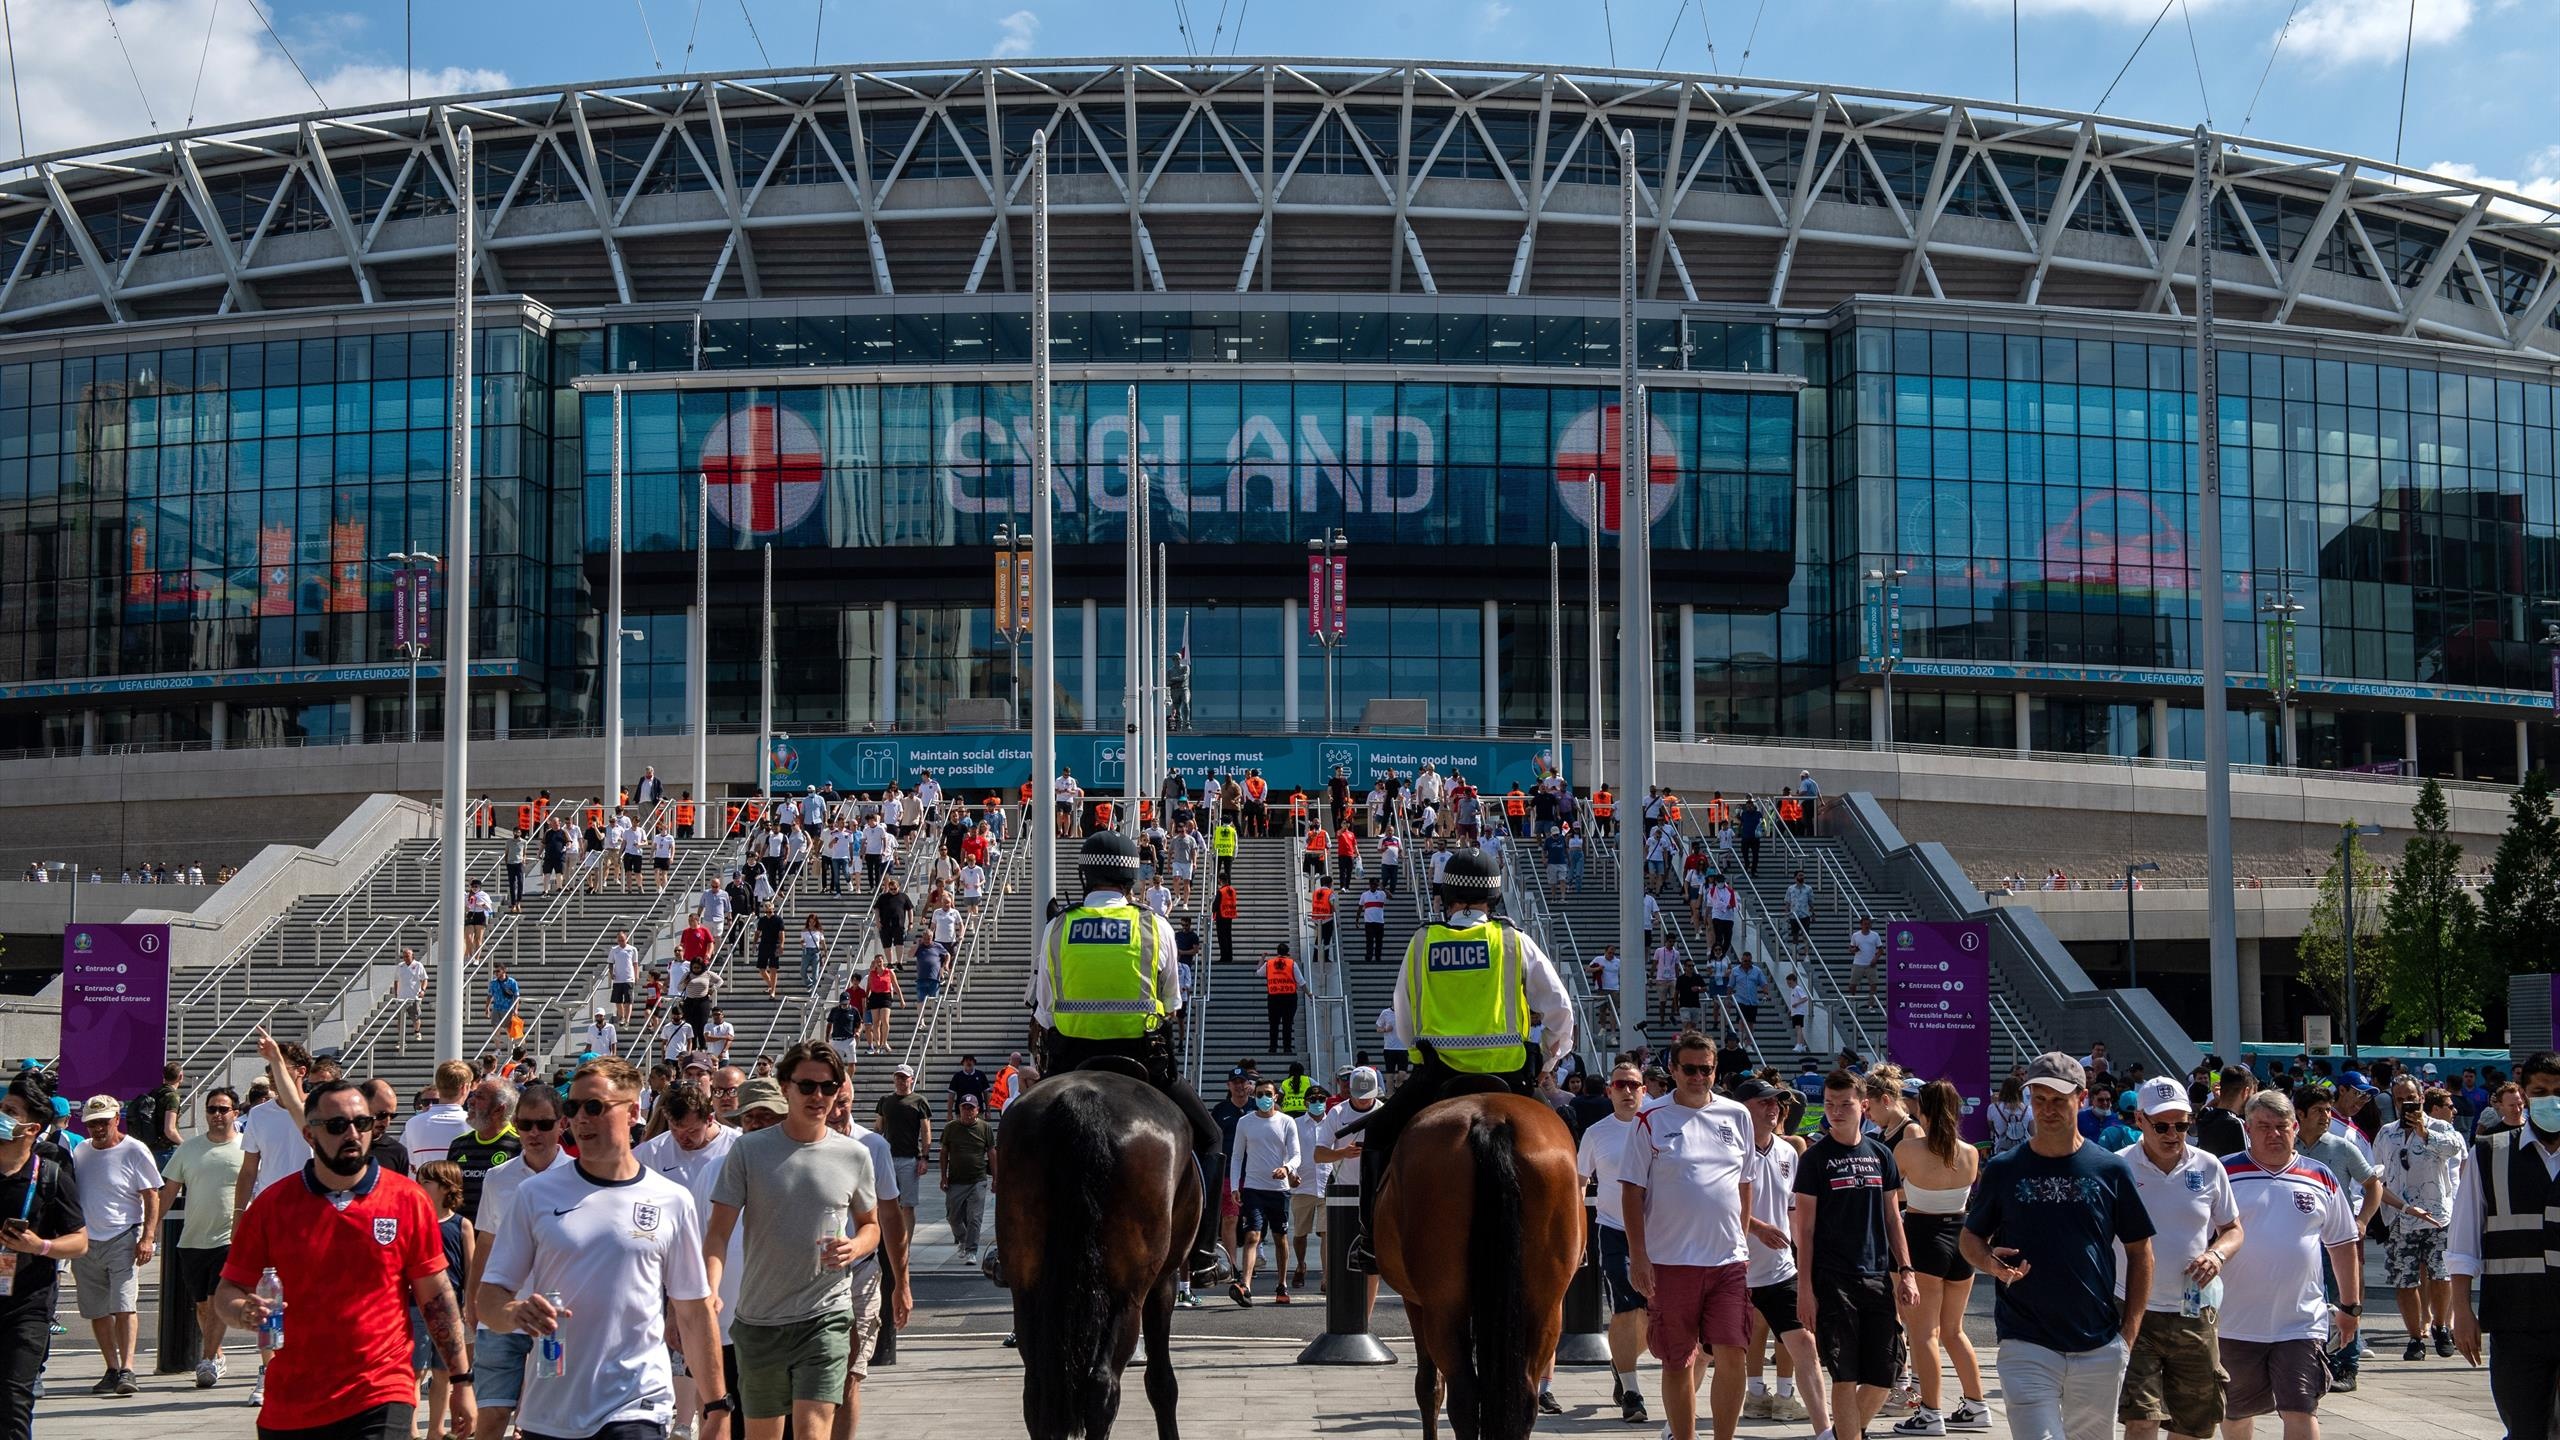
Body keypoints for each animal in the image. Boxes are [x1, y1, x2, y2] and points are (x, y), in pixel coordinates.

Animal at [993, 1055, 1203, 1434]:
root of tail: (1081, 1099)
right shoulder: (1163, 1281)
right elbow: (1162, 1382)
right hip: (1127, 1293)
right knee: (1102, 1387)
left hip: (1029, 1288)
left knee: (1038, 1390)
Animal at [1382, 1086, 1576, 1434]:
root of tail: (1491, 1118)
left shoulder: (1415, 1301)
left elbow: (1428, 1386)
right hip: (1545, 1305)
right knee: (1524, 1397)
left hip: (1442, 1306)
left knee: (1463, 1397)